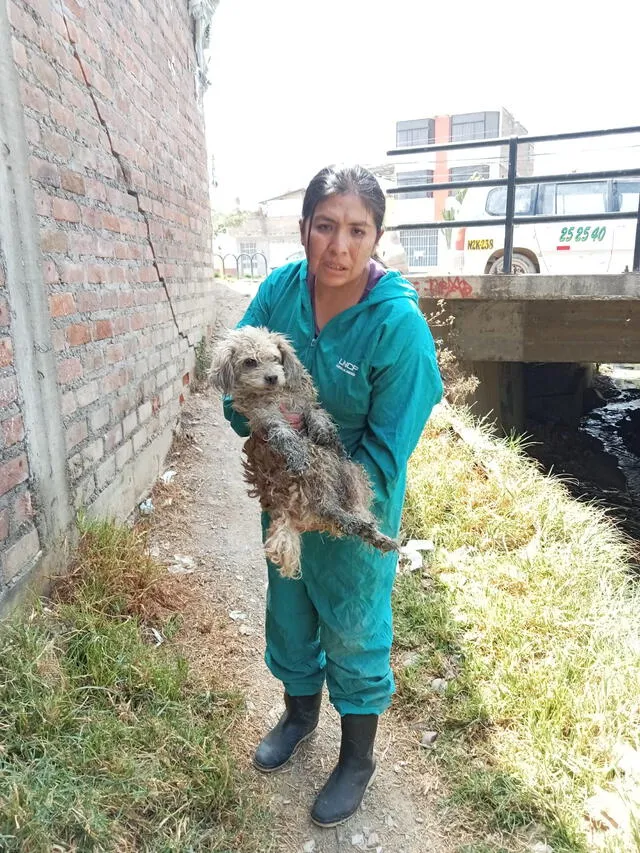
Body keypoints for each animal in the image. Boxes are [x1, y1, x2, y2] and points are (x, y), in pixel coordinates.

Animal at [212, 326, 398, 580]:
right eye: (250, 362)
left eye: (275, 358)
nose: (272, 377)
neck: (275, 394)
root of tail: (285, 509)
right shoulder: (265, 418)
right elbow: (283, 434)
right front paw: (296, 454)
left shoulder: (304, 403)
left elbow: (316, 414)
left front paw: (324, 432)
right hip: (317, 465)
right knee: (328, 509)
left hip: (350, 469)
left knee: (356, 508)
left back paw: (375, 533)